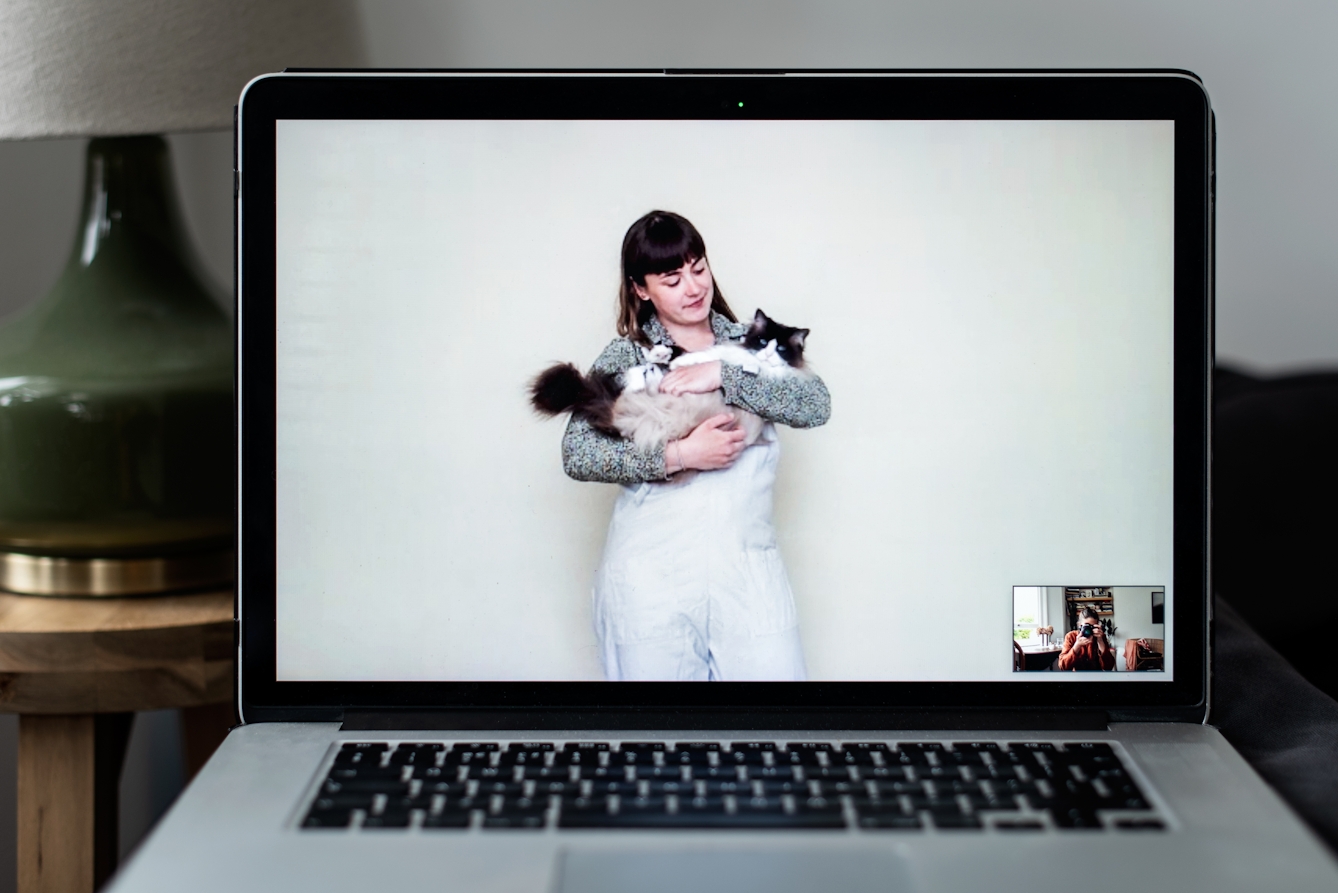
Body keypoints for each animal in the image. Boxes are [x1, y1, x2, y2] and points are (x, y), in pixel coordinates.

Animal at [529, 309, 802, 455]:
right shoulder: (709, 352)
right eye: (763, 341)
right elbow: (682, 353)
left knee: (634, 385)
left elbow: (692, 359)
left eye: (782, 349)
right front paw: (655, 350)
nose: (768, 354)